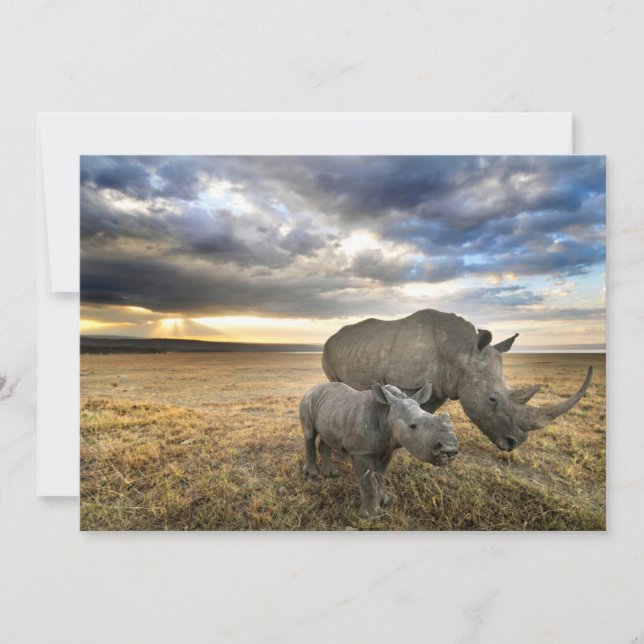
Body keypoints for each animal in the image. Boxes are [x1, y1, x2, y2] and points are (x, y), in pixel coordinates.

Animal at [299, 381, 458, 518]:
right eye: (413, 426)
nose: (450, 448)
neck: (386, 412)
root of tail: (312, 388)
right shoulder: (361, 452)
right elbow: (369, 482)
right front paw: (369, 516)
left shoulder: (387, 450)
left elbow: (380, 477)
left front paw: (384, 501)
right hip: (307, 400)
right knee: (309, 434)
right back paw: (312, 474)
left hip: (330, 408)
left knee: (326, 437)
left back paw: (331, 474)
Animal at [322, 309, 593, 452]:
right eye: (492, 399)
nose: (514, 443)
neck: (461, 352)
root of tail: (333, 335)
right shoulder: (406, 382)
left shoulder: (441, 386)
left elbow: (425, 413)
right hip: (328, 349)